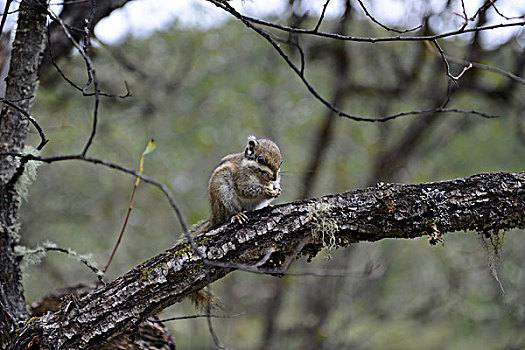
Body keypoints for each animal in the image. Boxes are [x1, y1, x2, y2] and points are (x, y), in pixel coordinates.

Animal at [188, 135, 282, 308]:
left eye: (281, 162)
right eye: (260, 159)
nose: (274, 177)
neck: (259, 177)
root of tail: (216, 215)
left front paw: (276, 190)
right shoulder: (241, 179)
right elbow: (247, 189)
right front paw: (265, 190)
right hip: (223, 193)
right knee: (229, 214)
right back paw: (237, 215)